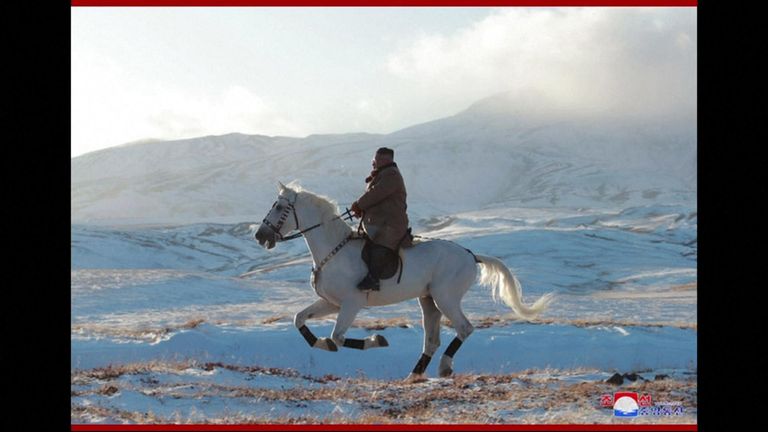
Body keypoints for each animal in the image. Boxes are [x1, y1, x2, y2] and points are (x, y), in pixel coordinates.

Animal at [256, 182, 552, 382]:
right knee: (431, 340)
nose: (260, 236)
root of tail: (470, 255)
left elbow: (338, 337)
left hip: (445, 298)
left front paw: (377, 339)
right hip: (428, 300)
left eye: (280, 207)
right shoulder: (331, 303)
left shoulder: (351, 304)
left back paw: (444, 367)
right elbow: (300, 320)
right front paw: (321, 344)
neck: (334, 250)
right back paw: (414, 375)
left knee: (464, 329)